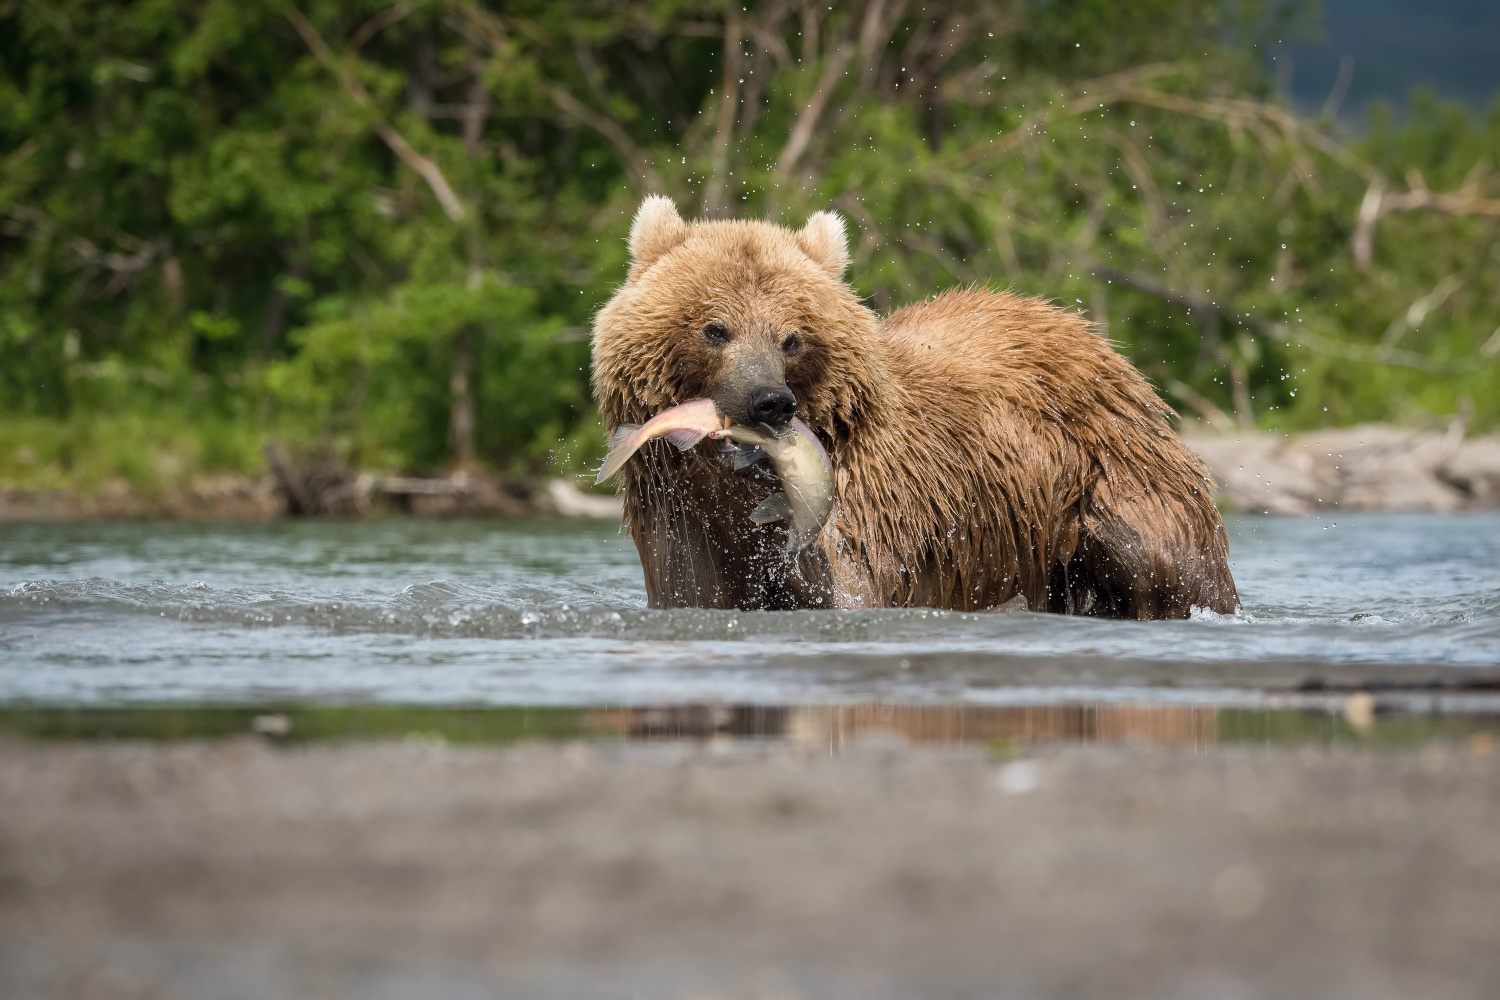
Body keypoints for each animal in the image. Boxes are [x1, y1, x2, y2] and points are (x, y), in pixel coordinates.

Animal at [591, 194, 1236, 617]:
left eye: (791, 337)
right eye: (715, 328)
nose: (769, 401)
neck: (725, 489)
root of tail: (1099, 343)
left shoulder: (869, 503)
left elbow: (844, 584)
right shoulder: (683, 517)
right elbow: (694, 590)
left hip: (1110, 470)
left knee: (1164, 557)